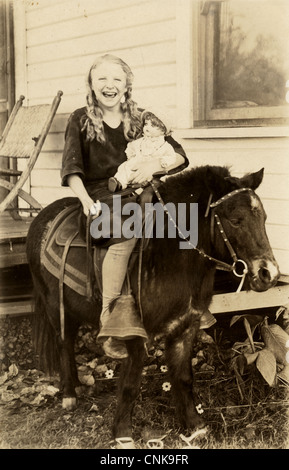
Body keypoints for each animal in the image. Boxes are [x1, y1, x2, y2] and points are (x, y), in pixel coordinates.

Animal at [25, 166, 278, 448]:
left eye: (263, 218)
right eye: (236, 220)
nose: (269, 274)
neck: (170, 255)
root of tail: (42, 217)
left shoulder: (185, 327)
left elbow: (184, 378)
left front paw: (194, 426)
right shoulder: (136, 336)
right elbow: (130, 384)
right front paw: (122, 432)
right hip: (54, 305)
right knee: (64, 343)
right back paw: (69, 393)